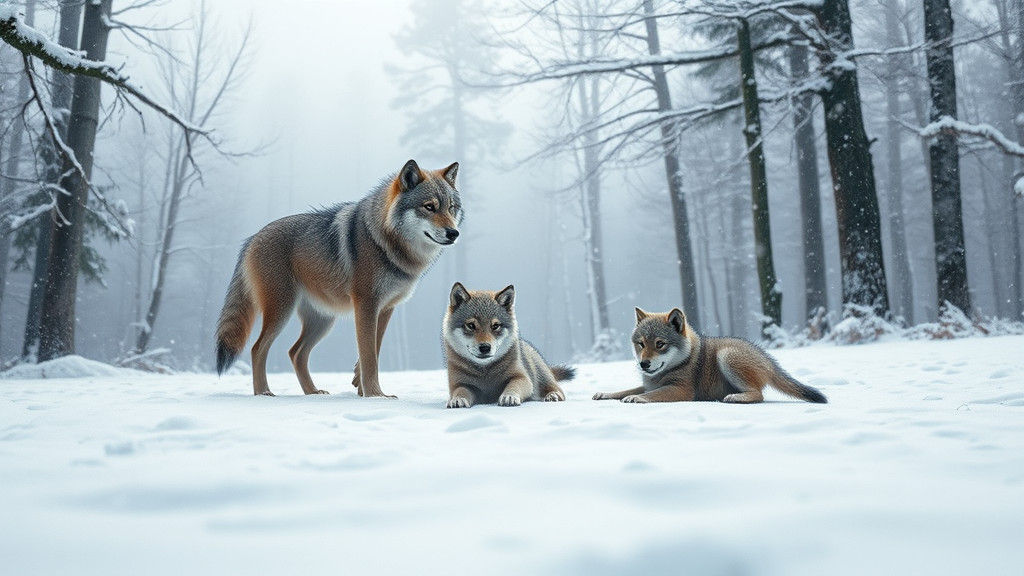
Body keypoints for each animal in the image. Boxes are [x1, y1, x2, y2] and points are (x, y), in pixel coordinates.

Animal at [215, 159, 462, 397]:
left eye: (451, 208)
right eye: (429, 207)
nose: (454, 233)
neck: (385, 243)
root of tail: (251, 239)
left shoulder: (386, 309)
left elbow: (374, 350)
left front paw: (361, 389)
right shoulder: (366, 305)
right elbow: (369, 356)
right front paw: (376, 395)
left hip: (323, 321)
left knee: (295, 352)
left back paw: (313, 392)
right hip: (282, 311)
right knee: (258, 348)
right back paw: (263, 392)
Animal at [442, 283, 575, 408]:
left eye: (495, 326)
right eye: (471, 325)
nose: (485, 347)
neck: (485, 373)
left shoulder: (522, 378)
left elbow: (513, 386)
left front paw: (509, 397)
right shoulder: (460, 384)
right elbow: (460, 391)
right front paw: (457, 400)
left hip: (542, 377)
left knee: (557, 390)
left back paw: (553, 396)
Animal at [593, 307, 827, 404]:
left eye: (660, 344)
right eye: (641, 344)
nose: (644, 364)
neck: (684, 360)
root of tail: (767, 358)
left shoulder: (681, 390)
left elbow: (651, 394)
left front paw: (637, 398)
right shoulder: (649, 384)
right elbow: (624, 390)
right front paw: (606, 393)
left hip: (726, 355)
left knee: (759, 395)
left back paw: (736, 398)